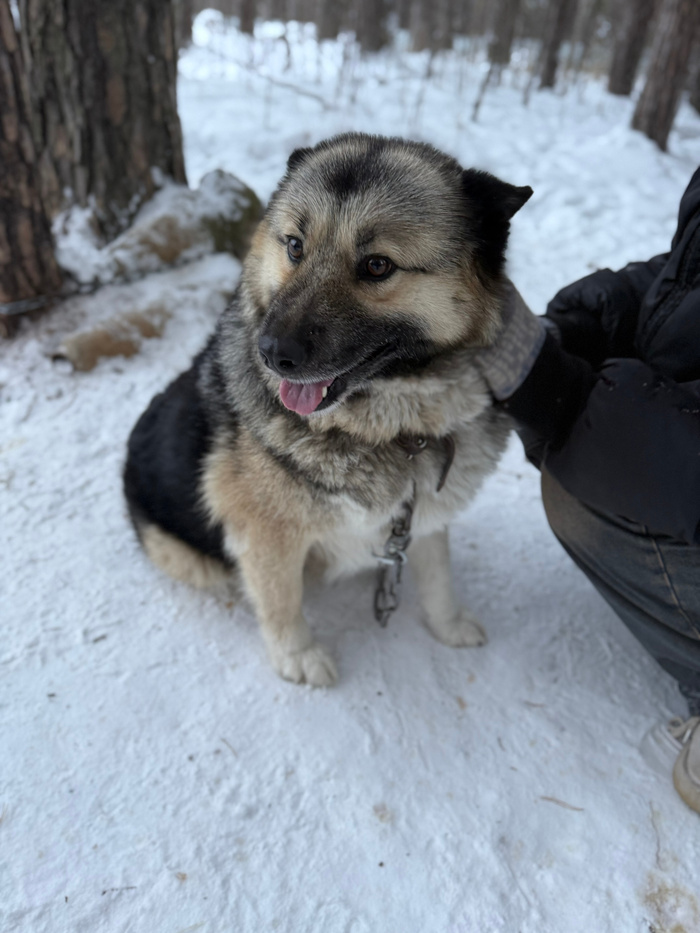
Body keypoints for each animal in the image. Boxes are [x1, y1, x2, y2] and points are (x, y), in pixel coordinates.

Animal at [123, 133, 532, 686]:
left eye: (378, 265)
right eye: (295, 245)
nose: (271, 352)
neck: (392, 433)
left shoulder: (422, 518)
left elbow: (437, 577)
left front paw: (447, 625)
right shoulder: (266, 535)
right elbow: (281, 602)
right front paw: (298, 656)